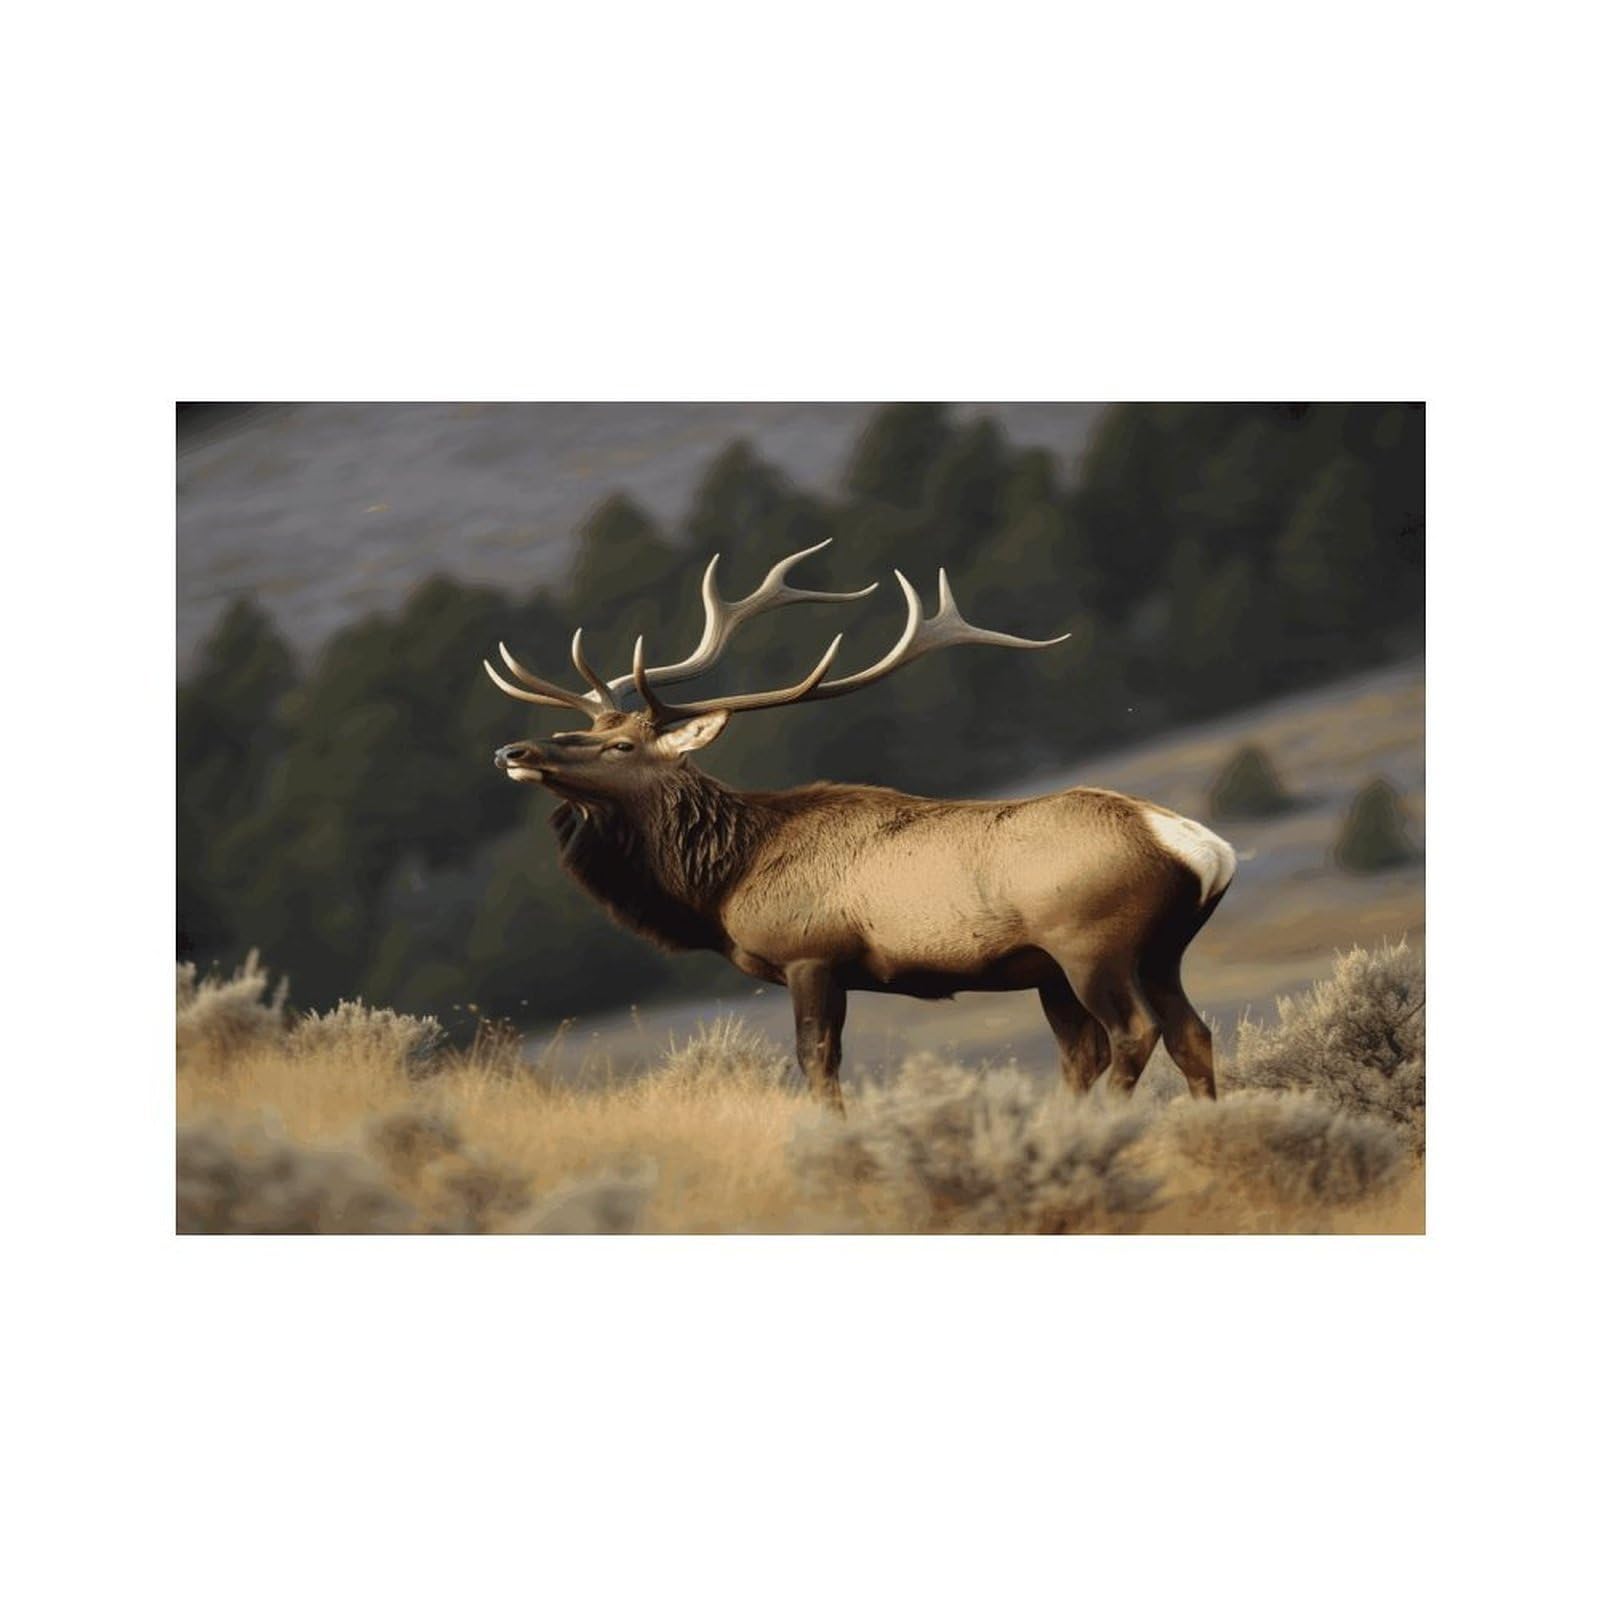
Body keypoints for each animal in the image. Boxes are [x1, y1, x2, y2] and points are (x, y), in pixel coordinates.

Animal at [484, 541, 1236, 1111]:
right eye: (584, 730)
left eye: (620, 745)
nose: (514, 752)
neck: (724, 880)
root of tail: (1203, 849)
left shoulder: (811, 954)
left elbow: (818, 1064)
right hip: (1152, 951)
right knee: (1185, 1035)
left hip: (1089, 944)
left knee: (1134, 1034)